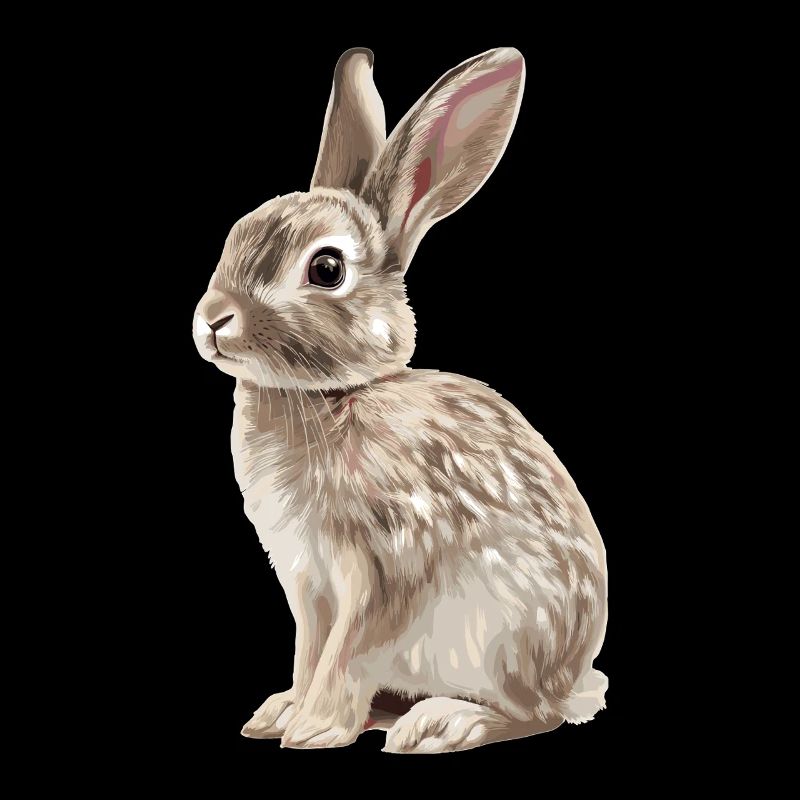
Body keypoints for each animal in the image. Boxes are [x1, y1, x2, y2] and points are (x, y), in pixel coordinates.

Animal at [192, 46, 608, 754]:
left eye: (326, 269)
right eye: (237, 233)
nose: (213, 319)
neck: (339, 394)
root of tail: (575, 677)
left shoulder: (383, 569)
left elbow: (347, 653)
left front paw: (314, 728)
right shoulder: (308, 586)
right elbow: (311, 653)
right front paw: (280, 714)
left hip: (501, 639)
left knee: (535, 714)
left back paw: (443, 722)